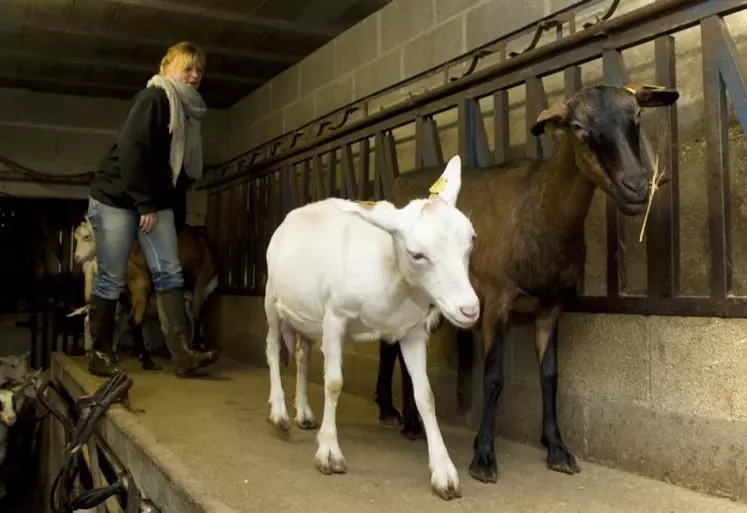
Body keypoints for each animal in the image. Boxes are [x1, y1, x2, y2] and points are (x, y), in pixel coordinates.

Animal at [266, 154, 482, 498]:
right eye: (416, 254)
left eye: (471, 240)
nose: (469, 309)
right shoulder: (335, 317)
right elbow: (334, 383)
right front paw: (329, 453)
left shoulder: (412, 332)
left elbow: (425, 395)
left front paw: (444, 472)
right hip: (272, 298)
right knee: (273, 350)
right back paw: (280, 414)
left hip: (307, 317)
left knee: (301, 357)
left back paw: (304, 413)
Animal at [376, 82, 680, 482]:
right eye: (578, 127)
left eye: (638, 115)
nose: (637, 187)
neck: (538, 207)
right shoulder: (496, 299)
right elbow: (493, 377)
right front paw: (483, 457)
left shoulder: (552, 306)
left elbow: (550, 376)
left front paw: (558, 449)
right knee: (393, 346)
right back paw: (403, 420)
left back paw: (399, 415)